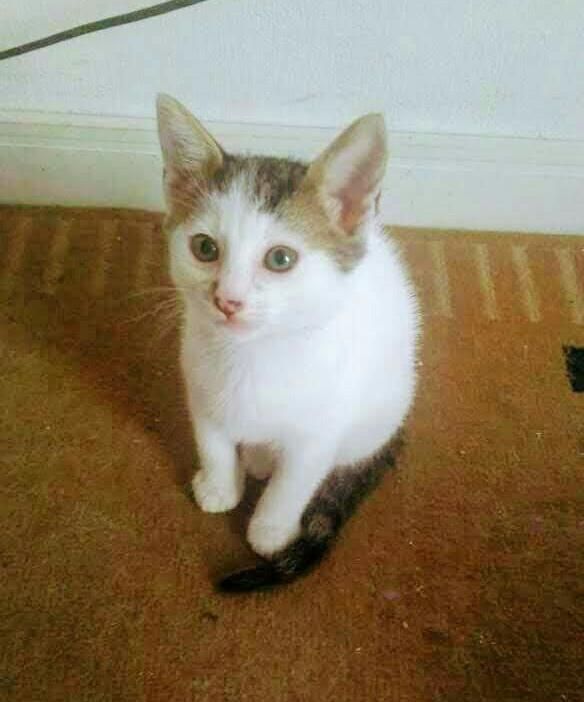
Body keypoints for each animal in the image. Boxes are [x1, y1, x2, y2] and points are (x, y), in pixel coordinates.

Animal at [156, 94, 421, 592]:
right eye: (204, 248)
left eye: (281, 259)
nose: (228, 300)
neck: (253, 357)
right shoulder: (198, 384)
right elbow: (212, 441)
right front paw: (220, 486)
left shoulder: (322, 427)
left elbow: (294, 482)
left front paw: (271, 530)